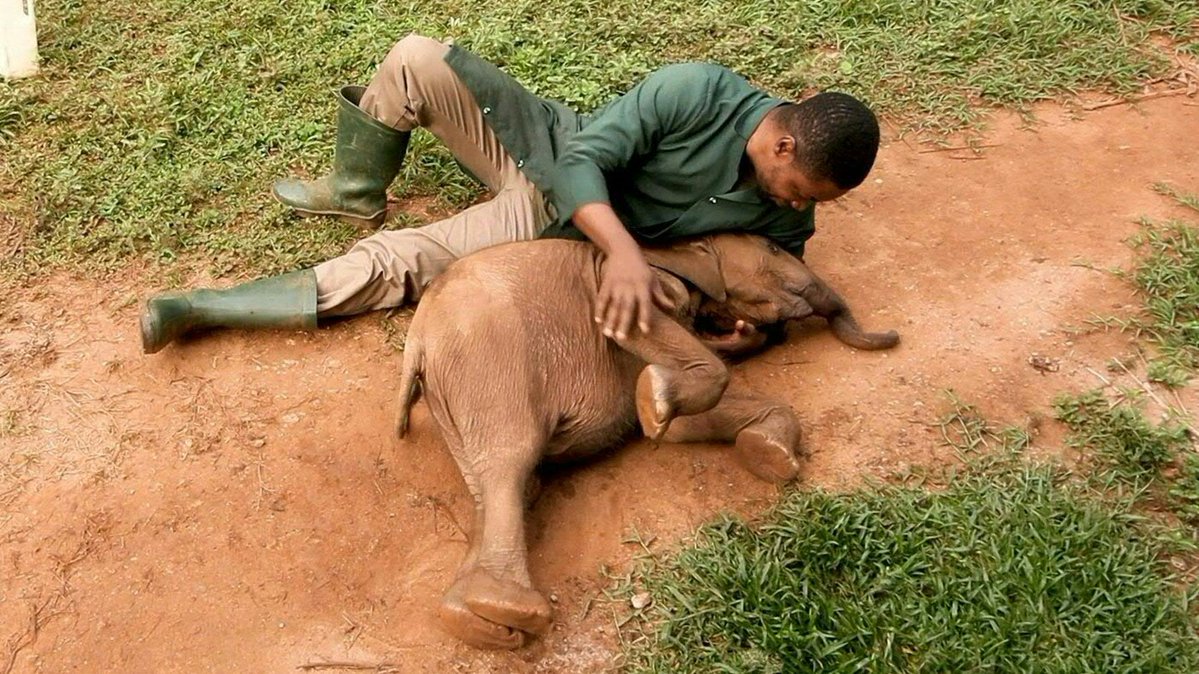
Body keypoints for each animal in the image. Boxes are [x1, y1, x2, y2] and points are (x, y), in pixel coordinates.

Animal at [394, 233, 898, 649]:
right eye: (773, 250)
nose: (893, 336)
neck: (676, 247)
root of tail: (417, 340)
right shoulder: (633, 290)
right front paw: (655, 399)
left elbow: (684, 425)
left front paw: (763, 452)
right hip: (490, 358)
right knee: (510, 464)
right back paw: (509, 607)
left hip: (451, 394)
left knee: (506, 487)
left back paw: (473, 618)